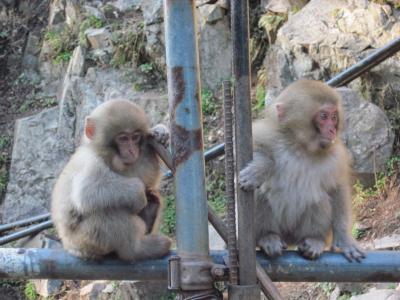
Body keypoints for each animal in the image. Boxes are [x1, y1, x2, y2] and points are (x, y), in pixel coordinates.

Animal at [50, 99, 171, 262]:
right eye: (123, 138)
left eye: (135, 137)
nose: (132, 151)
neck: (103, 155)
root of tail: (69, 247)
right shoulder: (91, 163)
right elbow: (86, 192)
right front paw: (137, 192)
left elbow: (146, 175)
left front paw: (159, 132)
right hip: (86, 240)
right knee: (107, 212)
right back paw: (137, 250)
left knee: (151, 196)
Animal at [239, 79, 368, 262]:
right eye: (323, 116)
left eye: (334, 117)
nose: (332, 130)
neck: (301, 146)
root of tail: (288, 239)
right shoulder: (267, 134)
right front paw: (259, 168)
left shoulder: (337, 158)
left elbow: (337, 190)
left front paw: (344, 240)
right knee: (261, 192)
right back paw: (267, 236)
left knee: (319, 198)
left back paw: (314, 239)